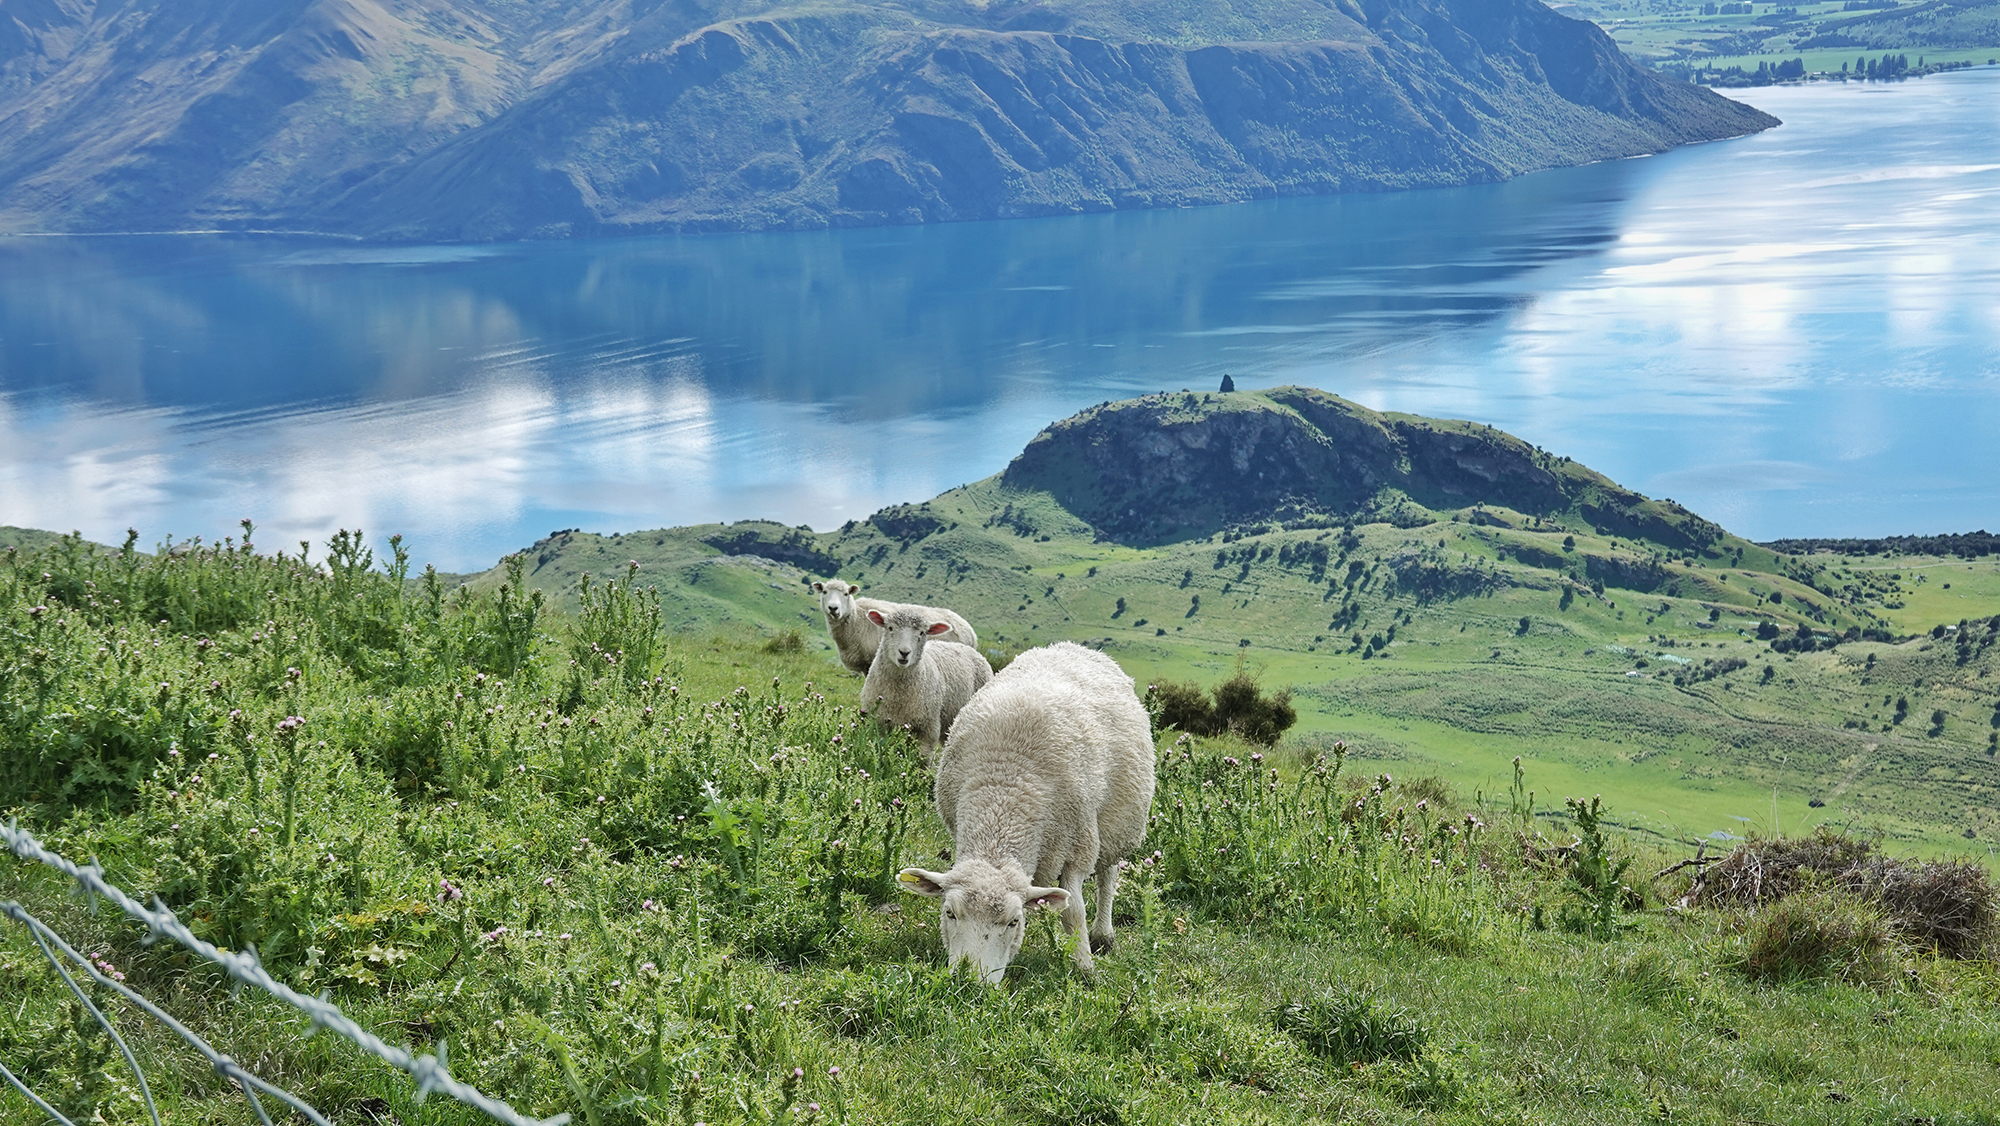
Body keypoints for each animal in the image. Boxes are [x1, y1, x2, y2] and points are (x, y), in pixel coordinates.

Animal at [860, 608, 992, 756]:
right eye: (890, 628)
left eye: (922, 633)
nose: (904, 652)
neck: (898, 695)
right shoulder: (879, 723)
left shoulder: (928, 728)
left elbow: (922, 757)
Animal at [896, 644, 1160, 988]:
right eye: (950, 913)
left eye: (1014, 921)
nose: (970, 983)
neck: (1004, 793)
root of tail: (1074, 646)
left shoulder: (1078, 845)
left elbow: (1073, 911)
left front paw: (1084, 966)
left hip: (1116, 826)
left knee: (1108, 875)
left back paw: (1103, 934)